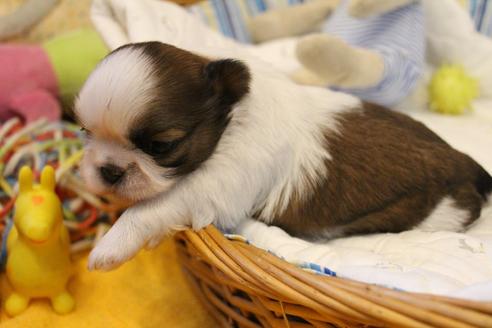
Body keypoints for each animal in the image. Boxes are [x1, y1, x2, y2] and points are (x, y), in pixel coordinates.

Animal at [74, 41, 492, 272]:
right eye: (84, 132)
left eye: (160, 146)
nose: (108, 171)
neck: (234, 117)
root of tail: (461, 159)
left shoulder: (214, 185)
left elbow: (151, 208)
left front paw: (110, 246)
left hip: (439, 215)